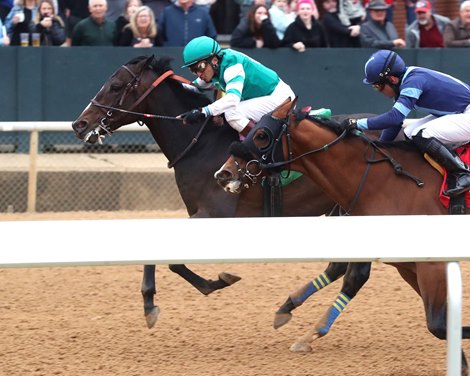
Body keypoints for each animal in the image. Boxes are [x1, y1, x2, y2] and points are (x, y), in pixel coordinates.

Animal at [72, 55, 352, 328]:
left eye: (116, 86)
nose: (79, 124)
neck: (201, 145)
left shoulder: (215, 213)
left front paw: (157, 300)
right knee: (338, 265)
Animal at [217, 97, 470, 376]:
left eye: (262, 134)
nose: (223, 174)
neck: (381, 182)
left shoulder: (432, 264)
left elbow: (438, 324)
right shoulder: (408, 266)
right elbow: (441, 323)